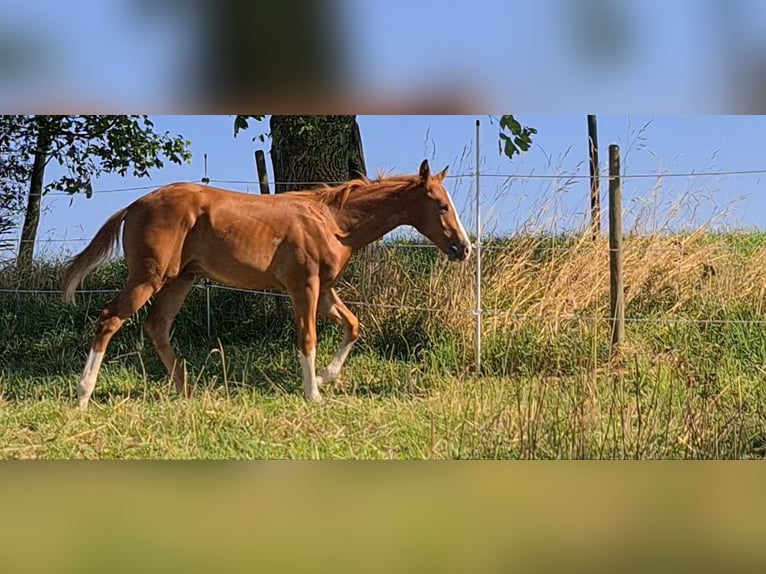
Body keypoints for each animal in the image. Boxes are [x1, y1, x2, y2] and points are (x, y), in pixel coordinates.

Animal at [63, 159, 474, 410]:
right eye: (441, 205)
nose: (464, 248)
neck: (331, 222)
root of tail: (133, 206)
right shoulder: (303, 286)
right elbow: (307, 337)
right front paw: (313, 393)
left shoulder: (324, 290)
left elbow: (354, 325)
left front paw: (325, 378)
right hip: (148, 278)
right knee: (110, 318)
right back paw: (83, 395)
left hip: (181, 279)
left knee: (156, 326)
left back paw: (190, 390)